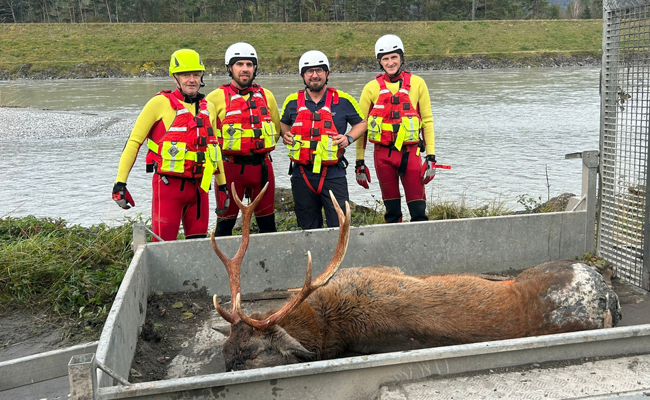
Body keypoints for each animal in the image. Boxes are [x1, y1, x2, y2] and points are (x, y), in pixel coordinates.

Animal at [210, 183, 622, 371]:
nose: (226, 363)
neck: (324, 317)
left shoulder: (384, 271)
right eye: (225, 351)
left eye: (251, 354)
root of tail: (606, 296)